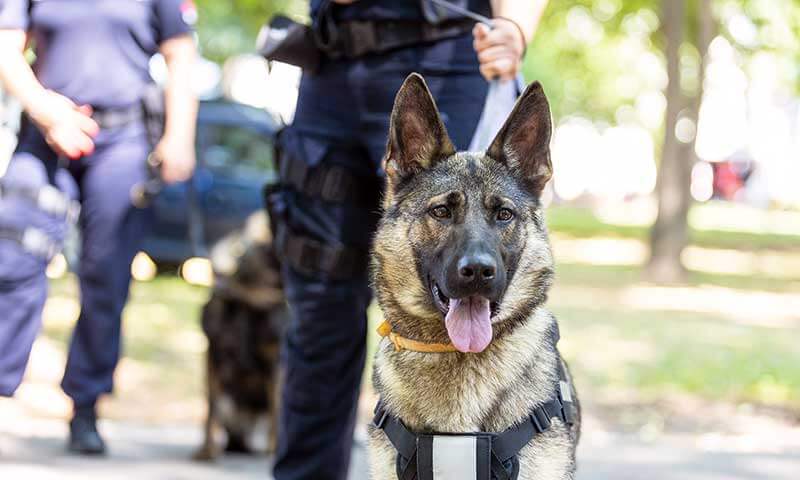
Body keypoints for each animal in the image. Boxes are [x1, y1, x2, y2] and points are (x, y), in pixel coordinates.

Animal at [193, 214, 288, 462]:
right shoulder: (214, 355)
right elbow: (211, 410)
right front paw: (207, 450)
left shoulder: (275, 362)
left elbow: (277, 408)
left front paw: (274, 450)